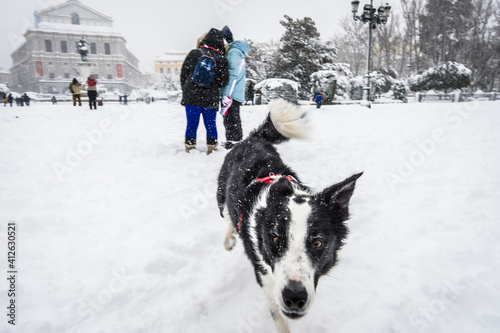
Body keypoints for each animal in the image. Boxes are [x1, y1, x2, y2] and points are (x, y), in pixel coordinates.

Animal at [217, 99, 362, 332]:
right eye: (275, 239)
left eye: (318, 243)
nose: (294, 297)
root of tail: (252, 139)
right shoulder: (265, 277)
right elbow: (278, 315)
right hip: (221, 197)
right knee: (228, 215)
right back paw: (229, 238)